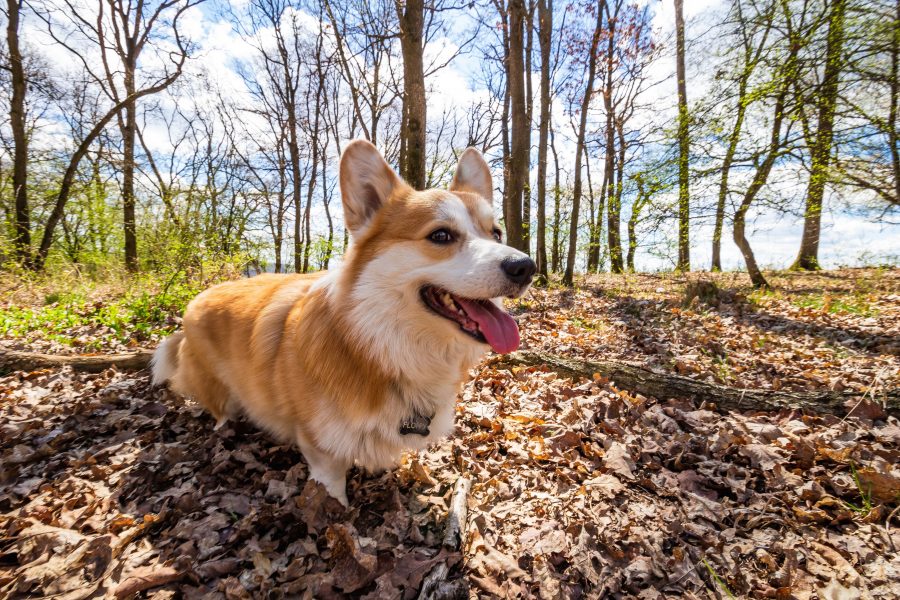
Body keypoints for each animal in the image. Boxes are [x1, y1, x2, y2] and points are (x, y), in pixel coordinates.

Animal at [151, 139, 536, 502]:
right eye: (441, 235)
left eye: (496, 233)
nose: (526, 267)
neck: (376, 347)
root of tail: (193, 304)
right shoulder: (322, 449)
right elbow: (331, 491)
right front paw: (334, 509)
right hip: (217, 390)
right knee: (220, 410)